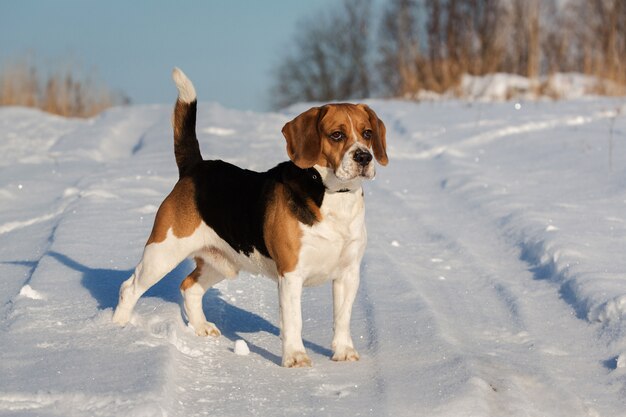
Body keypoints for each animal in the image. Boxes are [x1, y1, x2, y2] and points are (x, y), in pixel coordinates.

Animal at [111, 68, 386, 368]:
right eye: (336, 135)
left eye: (367, 133)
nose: (364, 157)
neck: (331, 194)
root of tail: (195, 167)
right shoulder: (291, 274)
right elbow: (294, 321)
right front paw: (295, 357)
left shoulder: (348, 273)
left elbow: (342, 318)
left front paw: (343, 352)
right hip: (161, 254)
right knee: (129, 287)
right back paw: (117, 328)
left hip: (220, 262)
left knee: (189, 287)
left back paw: (201, 327)